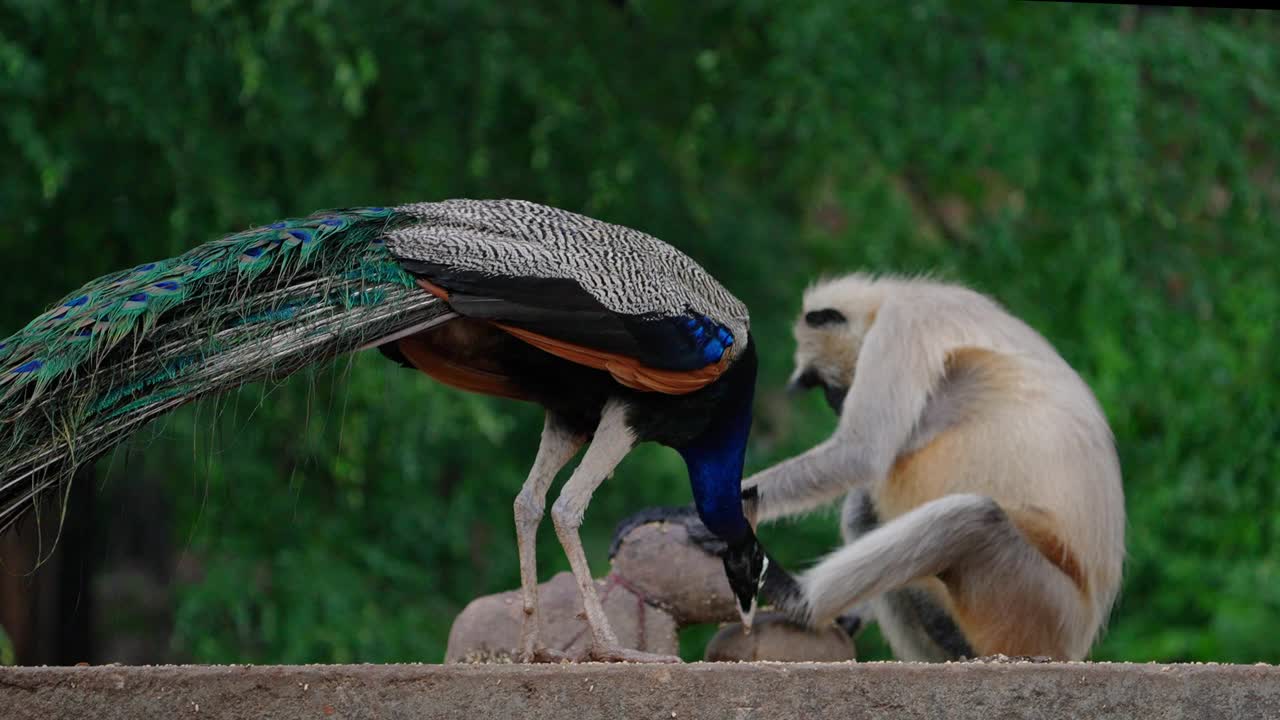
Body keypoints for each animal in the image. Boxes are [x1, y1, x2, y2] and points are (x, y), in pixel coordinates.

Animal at [747, 271, 1126, 661]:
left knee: (969, 519)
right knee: (864, 510)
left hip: (1042, 606)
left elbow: (861, 452)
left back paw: (794, 598)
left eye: (822, 381)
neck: (885, 300)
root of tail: (1080, 635)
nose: (833, 401)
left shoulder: (904, 322)